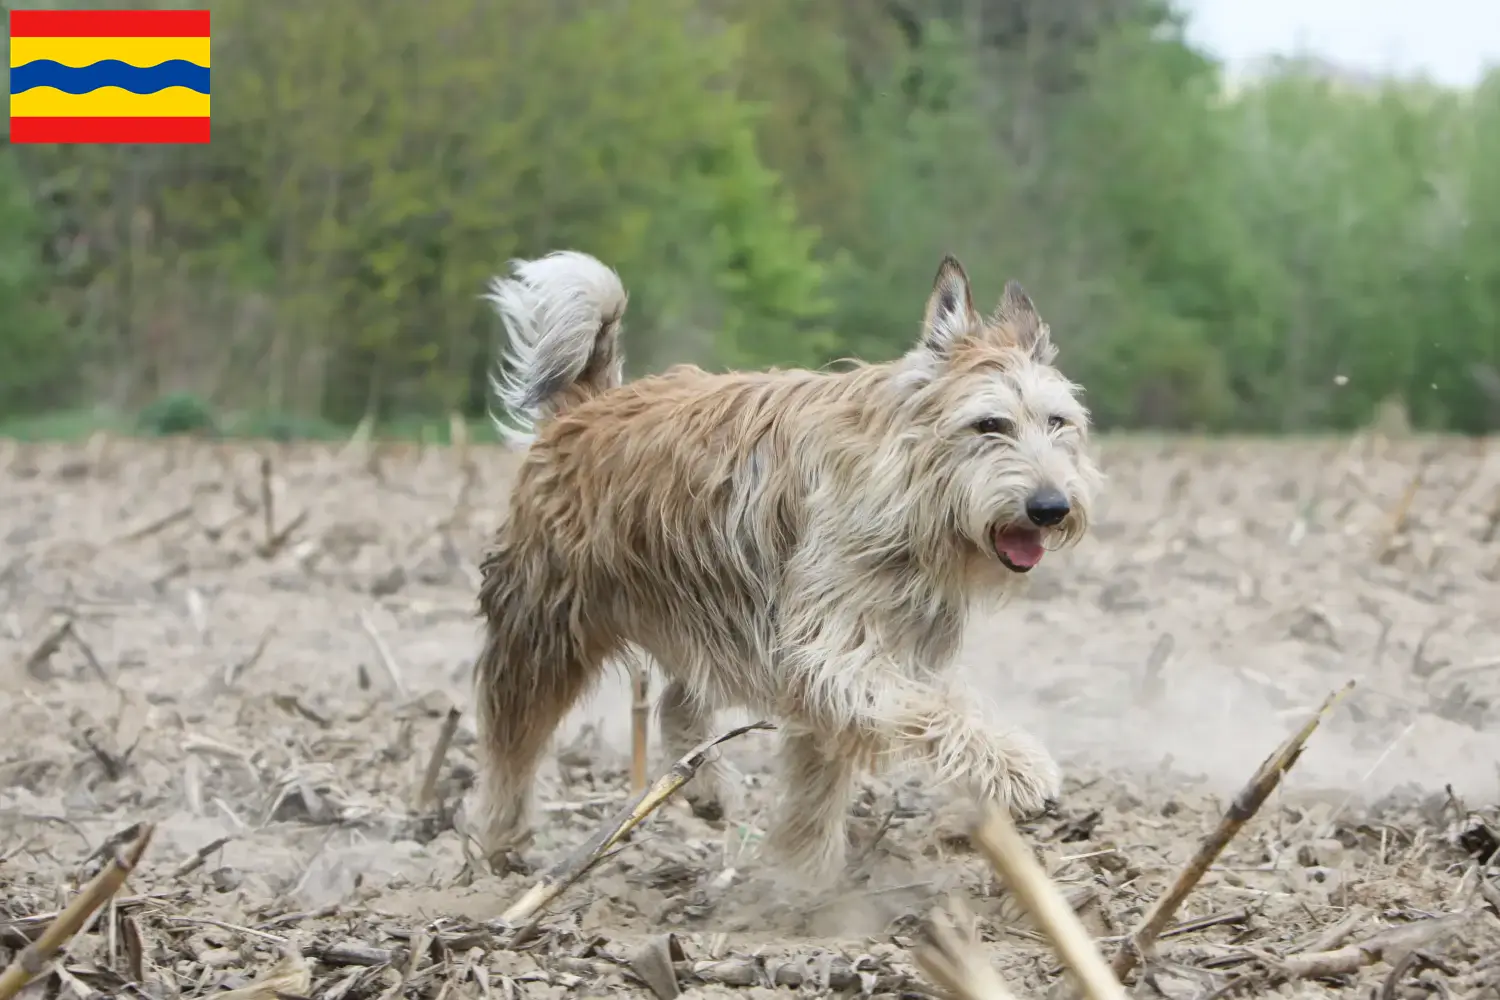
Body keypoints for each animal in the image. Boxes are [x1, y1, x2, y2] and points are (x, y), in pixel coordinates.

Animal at [471, 250, 1104, 881]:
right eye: (989, 424)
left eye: (1057, 422)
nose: (1051, 507)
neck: (907, 491)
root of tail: (588, 405)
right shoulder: (832, 651)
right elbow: (932, 710)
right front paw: (1018, 767)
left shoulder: (857, 654)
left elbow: (820, 777)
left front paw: (803, 877)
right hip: (546, 627)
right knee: (511, 740)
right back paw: (503, 841)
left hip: (712, 616)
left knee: (677, 700)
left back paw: (705, 788)